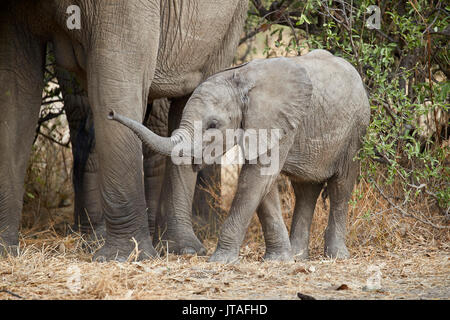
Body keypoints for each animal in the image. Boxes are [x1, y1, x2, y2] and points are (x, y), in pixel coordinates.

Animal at [0, 0, 248, 260]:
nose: (112, 115)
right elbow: (14, 85)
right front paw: (5, 250)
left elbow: (116, 77)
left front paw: (124, 257)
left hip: (231, 21)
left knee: (194, 91)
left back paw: (182, 249)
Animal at [109, 48, 370, 262]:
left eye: (213, 125)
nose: (110, 113)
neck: (240, 79)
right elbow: (262, 186)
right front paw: (279, 260)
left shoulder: (279, 122)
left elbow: (257, 178)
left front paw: (220, 260)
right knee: (305, 189)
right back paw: (299, 256)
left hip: (355, 132)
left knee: (341, 187)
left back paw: (337, 256)